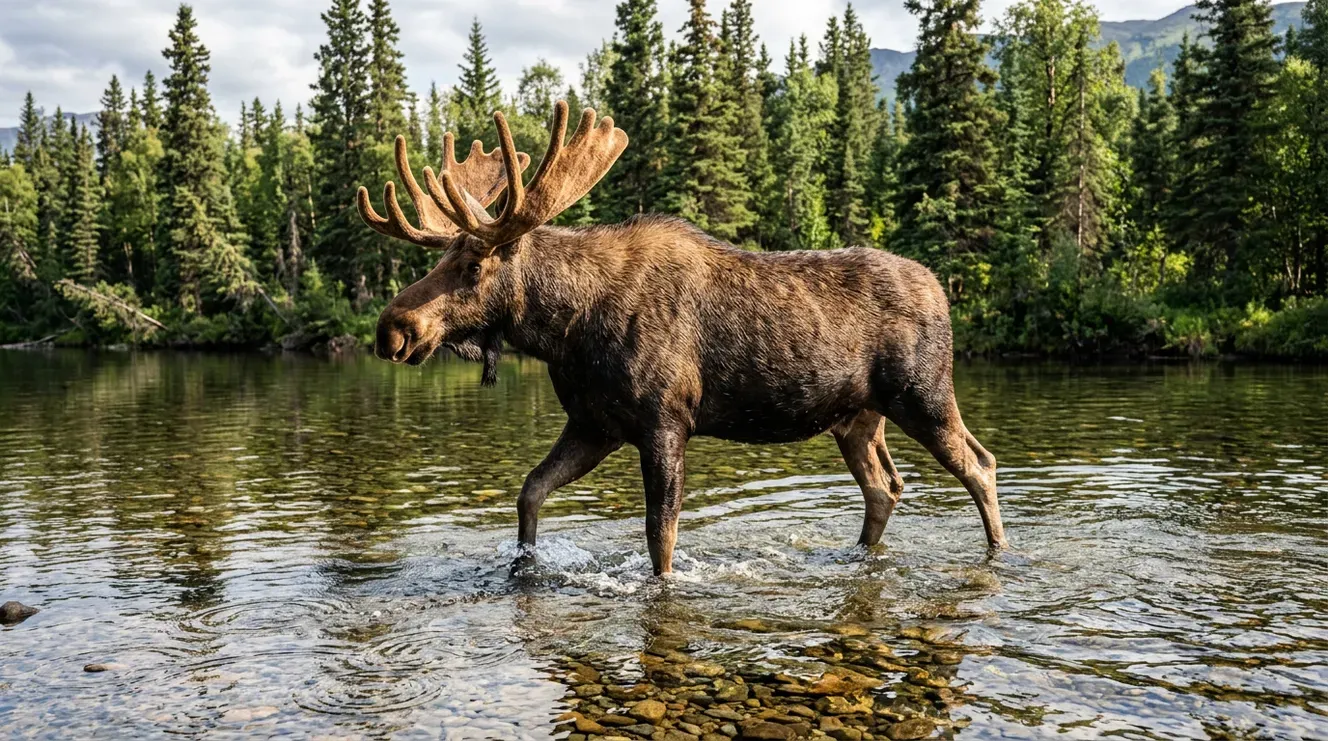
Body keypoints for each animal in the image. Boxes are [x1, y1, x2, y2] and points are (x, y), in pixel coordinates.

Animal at [358, 101, 1008, 576]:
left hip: (923, 395)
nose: (392, 330)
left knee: (980, 463)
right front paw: (525, 567)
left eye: (472, 266)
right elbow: (530, 492)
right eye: (440, 257)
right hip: (857, 418)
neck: (566, 331)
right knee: (885, 488)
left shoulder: (665, 419)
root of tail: (942, 291)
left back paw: (998, 551)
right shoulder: (594, 424)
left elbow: (660, 536)